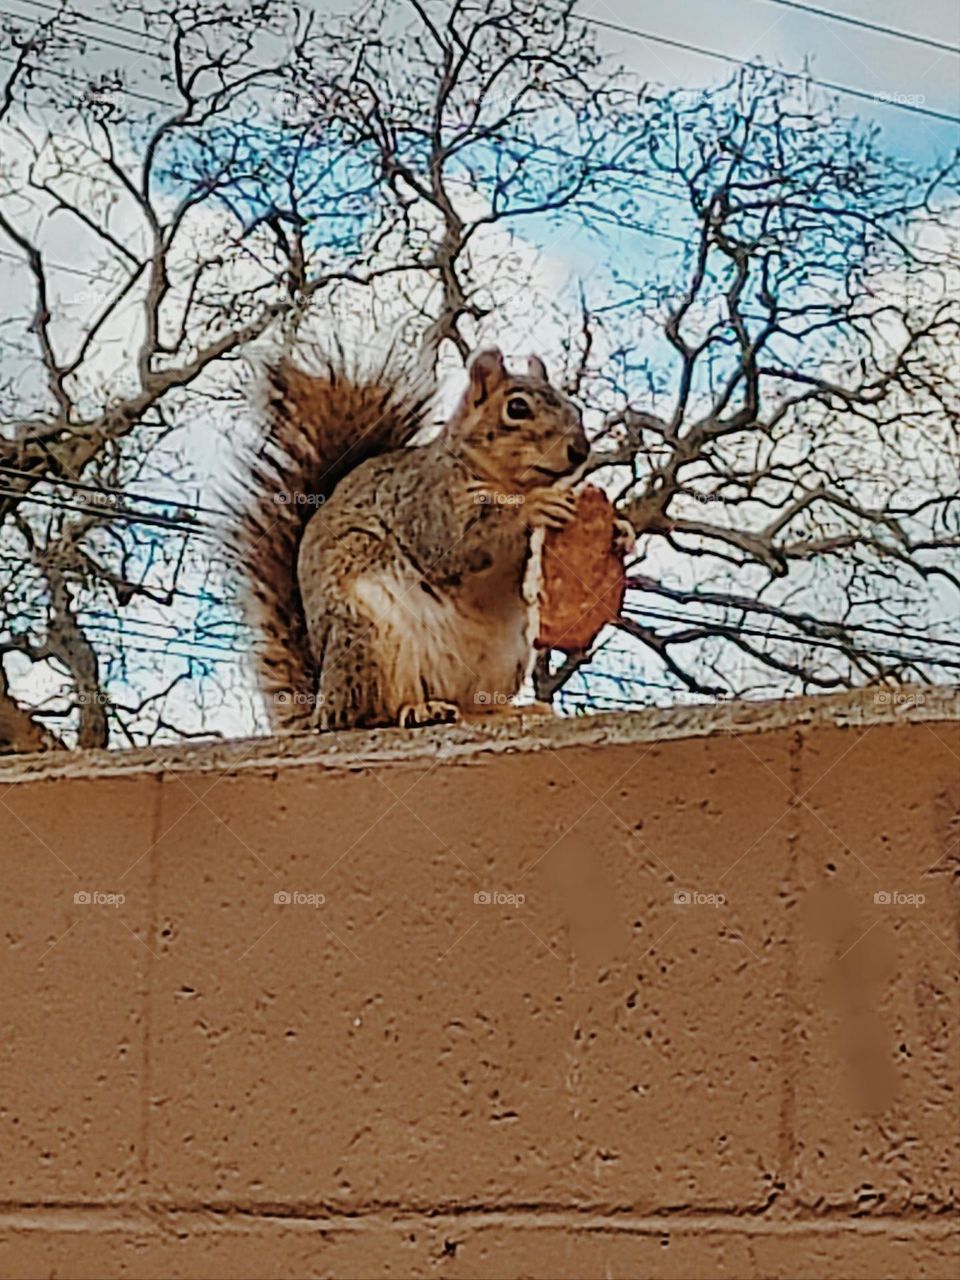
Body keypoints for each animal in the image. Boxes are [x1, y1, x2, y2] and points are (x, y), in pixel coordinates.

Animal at [230, 345, 590, 732]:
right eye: (517, 408)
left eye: (576, 408)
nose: (580, 450)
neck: (503, 481)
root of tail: (321, 707)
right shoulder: (425, 504)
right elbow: (460, 542)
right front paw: (535, 506)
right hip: (368, 636)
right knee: (367, 716)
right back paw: (418, 710)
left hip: (505, 659)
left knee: (471, 706)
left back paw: (510, 711)